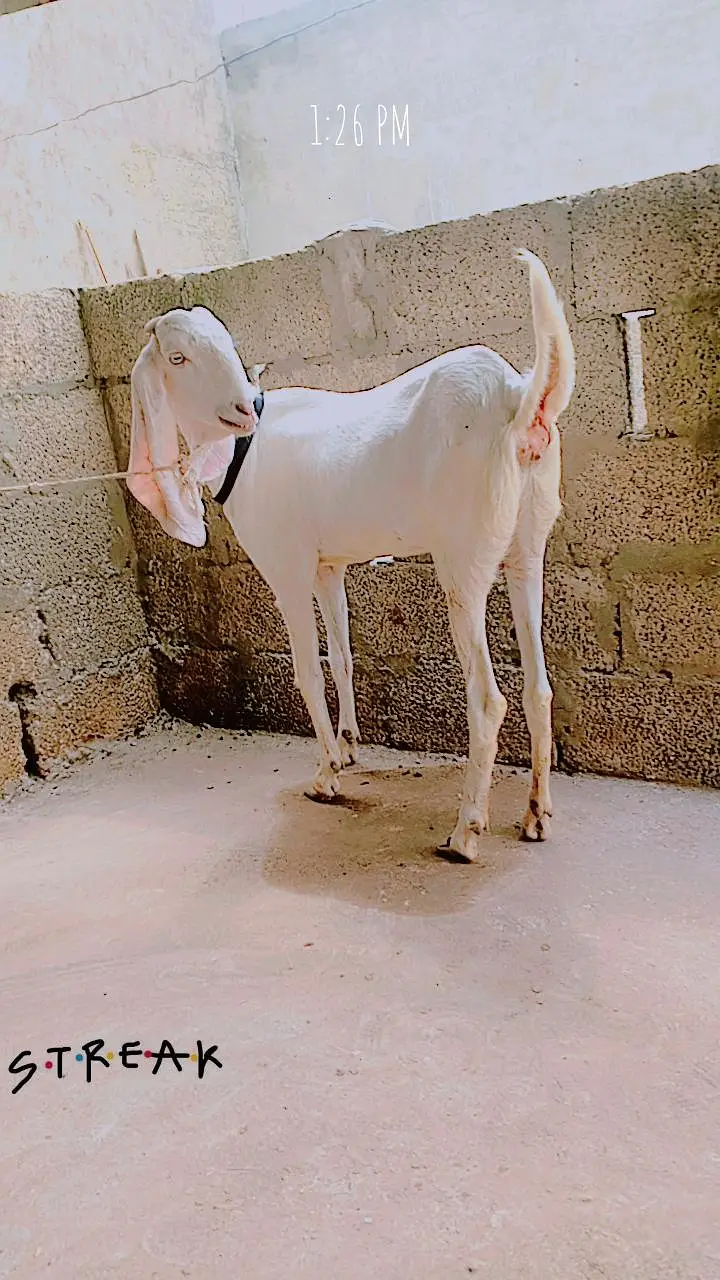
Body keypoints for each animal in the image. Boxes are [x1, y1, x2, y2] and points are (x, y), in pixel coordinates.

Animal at [127, 249, 574, 862]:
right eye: (179, 357)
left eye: (225, 347)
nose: (243, 409)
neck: (246, 449)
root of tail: (518, 396)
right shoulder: (326, 566)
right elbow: (340, 656)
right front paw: (348, 745)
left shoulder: (287, 568)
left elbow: (307, 671)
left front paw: (325, 776)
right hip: (527, 546)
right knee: (538, 688)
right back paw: (536, 814)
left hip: (465, 559)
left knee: (488, 699)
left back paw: (465, 832)